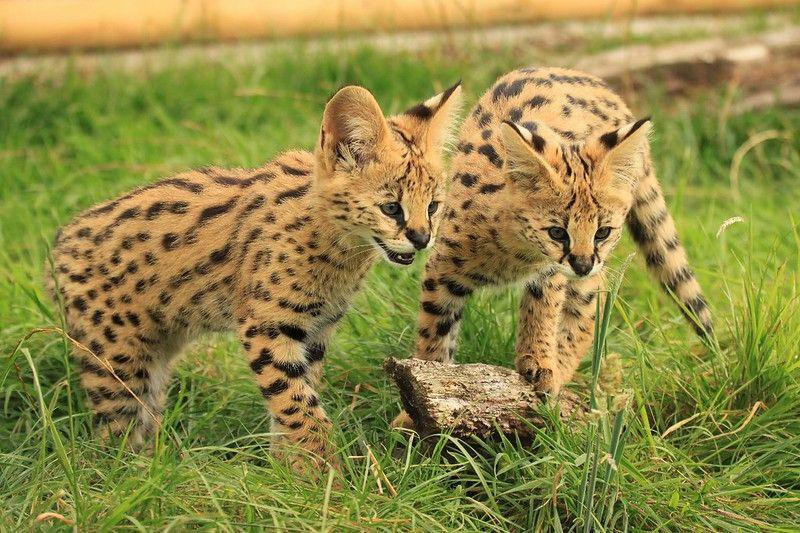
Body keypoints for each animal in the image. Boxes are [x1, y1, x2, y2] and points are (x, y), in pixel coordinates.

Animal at [46, 81, 462, 471]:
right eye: (391, 208)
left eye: (433, 206)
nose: (422, 239)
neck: (341, 250)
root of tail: (60, 243)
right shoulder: (267, 324)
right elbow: (296, 402)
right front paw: (323, 474)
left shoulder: (316, 329)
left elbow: (296, 397)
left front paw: (289, 469)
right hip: (117, 361)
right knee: (112, 434)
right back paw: (123, 478)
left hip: (155, 357)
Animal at [397, 67, 711, 427]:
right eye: (558, 232)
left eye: (603, 232)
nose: (583, 263)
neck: (516, 252)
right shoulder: (442, 268)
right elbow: (434, 330)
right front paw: (424, 391)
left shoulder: (551, 273)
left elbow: (543, 311)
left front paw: (541, 364)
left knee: (587, 313)